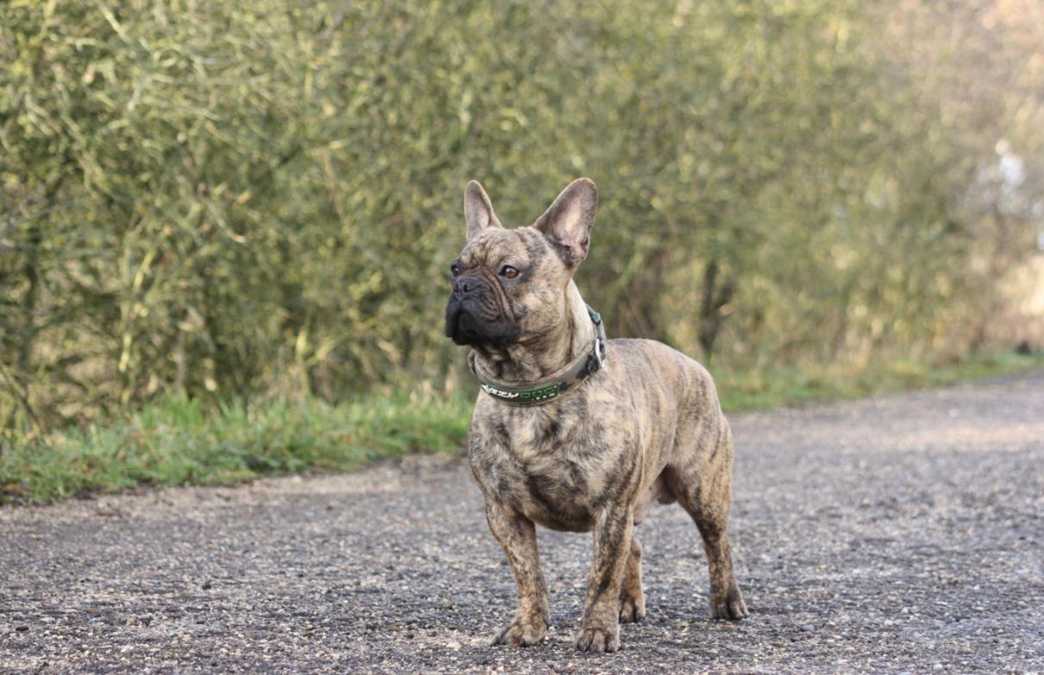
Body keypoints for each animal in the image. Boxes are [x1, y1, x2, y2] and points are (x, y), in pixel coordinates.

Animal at [444, 177, 747, 651]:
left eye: (509, 271)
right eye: (456, 269)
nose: (462, 288)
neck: (530, 390)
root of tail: (694, 364)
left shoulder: (610, 508)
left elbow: (601, 575)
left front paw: (597, 632)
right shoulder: (504, 511)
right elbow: (528, 574)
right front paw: (529, 626)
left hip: (703, 488)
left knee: (717, 544)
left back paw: (726, 602)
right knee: (633, 549)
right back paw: (629, 605)